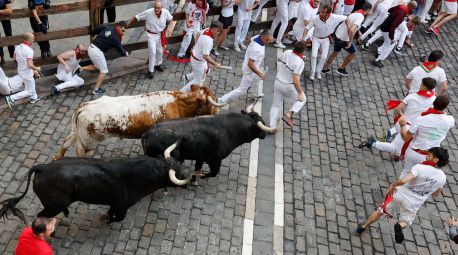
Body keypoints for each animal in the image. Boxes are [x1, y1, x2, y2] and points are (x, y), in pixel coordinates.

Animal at [0, 147, 188, 223]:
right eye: (178, 173)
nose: (189, 178)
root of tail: (42, 167)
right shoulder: (123, 205)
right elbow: (117, 218)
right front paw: (105, 220)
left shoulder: (115, 204)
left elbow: (111, 214)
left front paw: (105, 217)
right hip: (52, 206)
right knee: (41, 215)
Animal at [53, 85, 225, 159]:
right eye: (212, 100)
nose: (218, 114)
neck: (177, 102)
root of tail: (84, 106)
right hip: (89, 139)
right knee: (79, 151)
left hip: (78, 133)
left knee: (66, 141)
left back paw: (57, 157)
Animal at [140, 110, 276, 180]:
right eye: (261, 125)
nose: (265, 134)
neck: (230, 130)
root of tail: (146, 134)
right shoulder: (215, 159)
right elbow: (213, 173)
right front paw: (201, 176)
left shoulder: (200, 157)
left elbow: (198, 168)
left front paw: (194, 179)